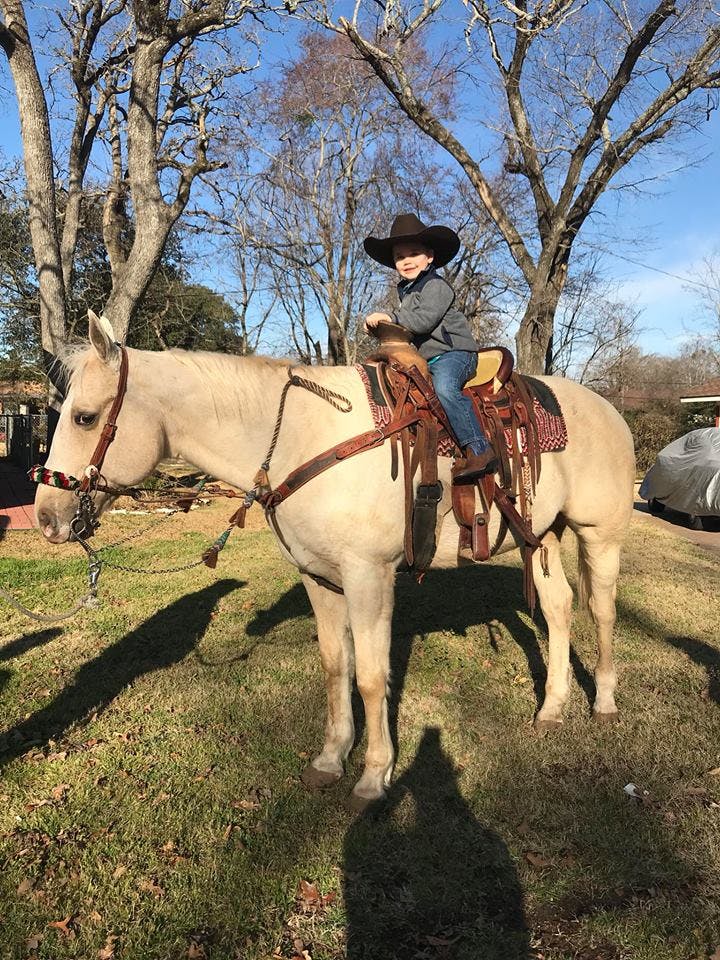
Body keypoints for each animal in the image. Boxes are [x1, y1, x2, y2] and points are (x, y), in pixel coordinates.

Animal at [35, 312, 635, 810]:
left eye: (84, 418)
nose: (46, 517)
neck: (299, 437)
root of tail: (610, 411)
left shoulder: (369, 576)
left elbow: (370, 676)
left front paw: (373, 777)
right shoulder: (319, 578)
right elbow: (334, 666)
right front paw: (330, 759)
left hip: (599, 536)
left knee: (602, 611)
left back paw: (604, 703)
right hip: (544, 536)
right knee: (558, 609)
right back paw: (551, 707)